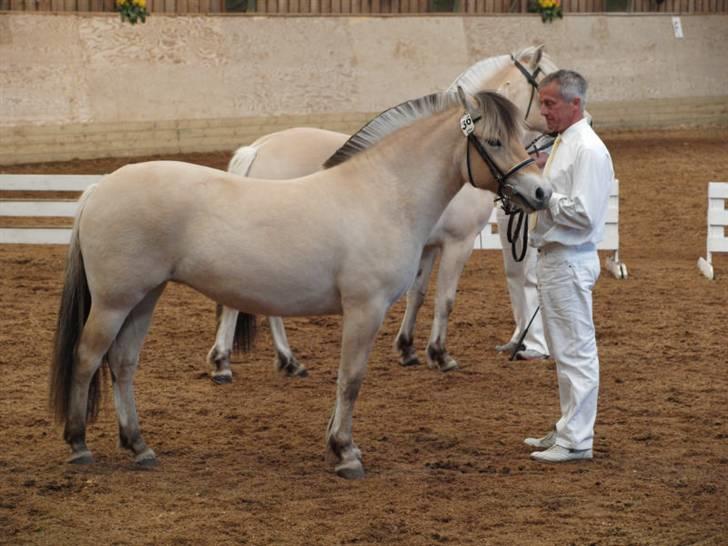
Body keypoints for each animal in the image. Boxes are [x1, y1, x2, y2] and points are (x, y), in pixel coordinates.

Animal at [49, 89, 552, 476]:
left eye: (520, 137)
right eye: (494, 140)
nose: (541, 192)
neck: (383, 193)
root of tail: (99, 188)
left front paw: (339, 443)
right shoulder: (365, 308)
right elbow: (351, 379)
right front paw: (346, 453)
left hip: (144, 298)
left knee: (123, 363)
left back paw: (139, 446)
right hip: (115, 301)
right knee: (87, 357)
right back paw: (78, 444)